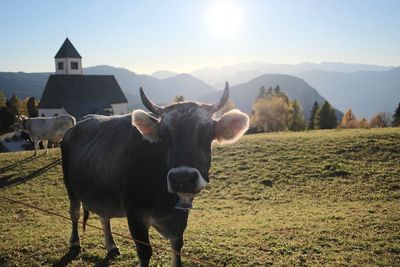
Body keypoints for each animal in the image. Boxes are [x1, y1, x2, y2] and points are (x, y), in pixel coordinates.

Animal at [60, 82, 248, 266]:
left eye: (207, 134)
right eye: (164, 137)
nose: (183, 178)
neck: (165, 201)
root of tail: (75, 126)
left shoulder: (179, 219)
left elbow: (177, 247)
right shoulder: (135, 214)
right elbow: (145, 253)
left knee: (103, 215)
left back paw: (111, 246)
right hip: (70, 186)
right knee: (74, 212)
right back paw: (75, 243)